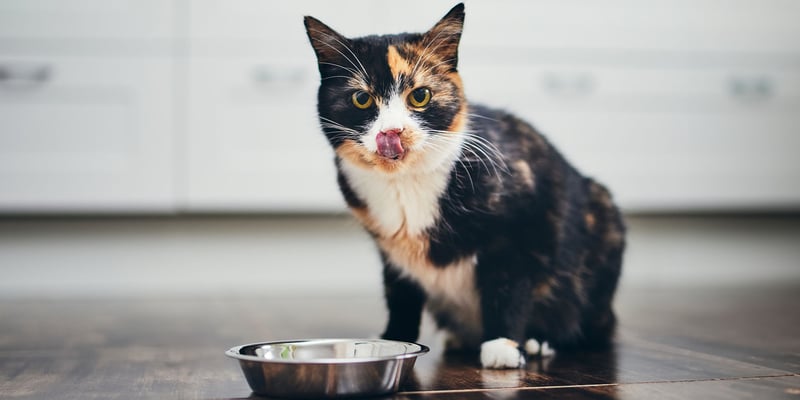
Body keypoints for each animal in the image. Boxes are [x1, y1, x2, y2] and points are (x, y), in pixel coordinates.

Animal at [304, 3, 624, 368]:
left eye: (420, 95)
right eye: (361, 99)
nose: (392, 132)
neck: (405, 183)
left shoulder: (520, 223)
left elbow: (507, 284)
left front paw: (502, 345)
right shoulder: (391, 252)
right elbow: (400, 294)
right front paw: (393, 339)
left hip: (601, 221)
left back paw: (539, 340)